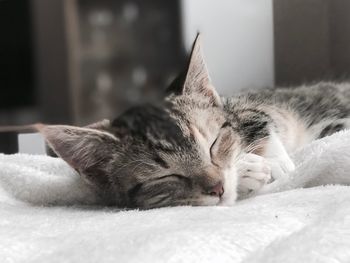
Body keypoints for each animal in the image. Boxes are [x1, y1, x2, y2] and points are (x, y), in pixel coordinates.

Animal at [35, 34, 350, 209]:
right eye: (165, 176)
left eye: (212, 144)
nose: (218, 188)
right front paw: (250, 169)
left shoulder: (249, 106)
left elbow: (260, 119)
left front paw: (277, 164)